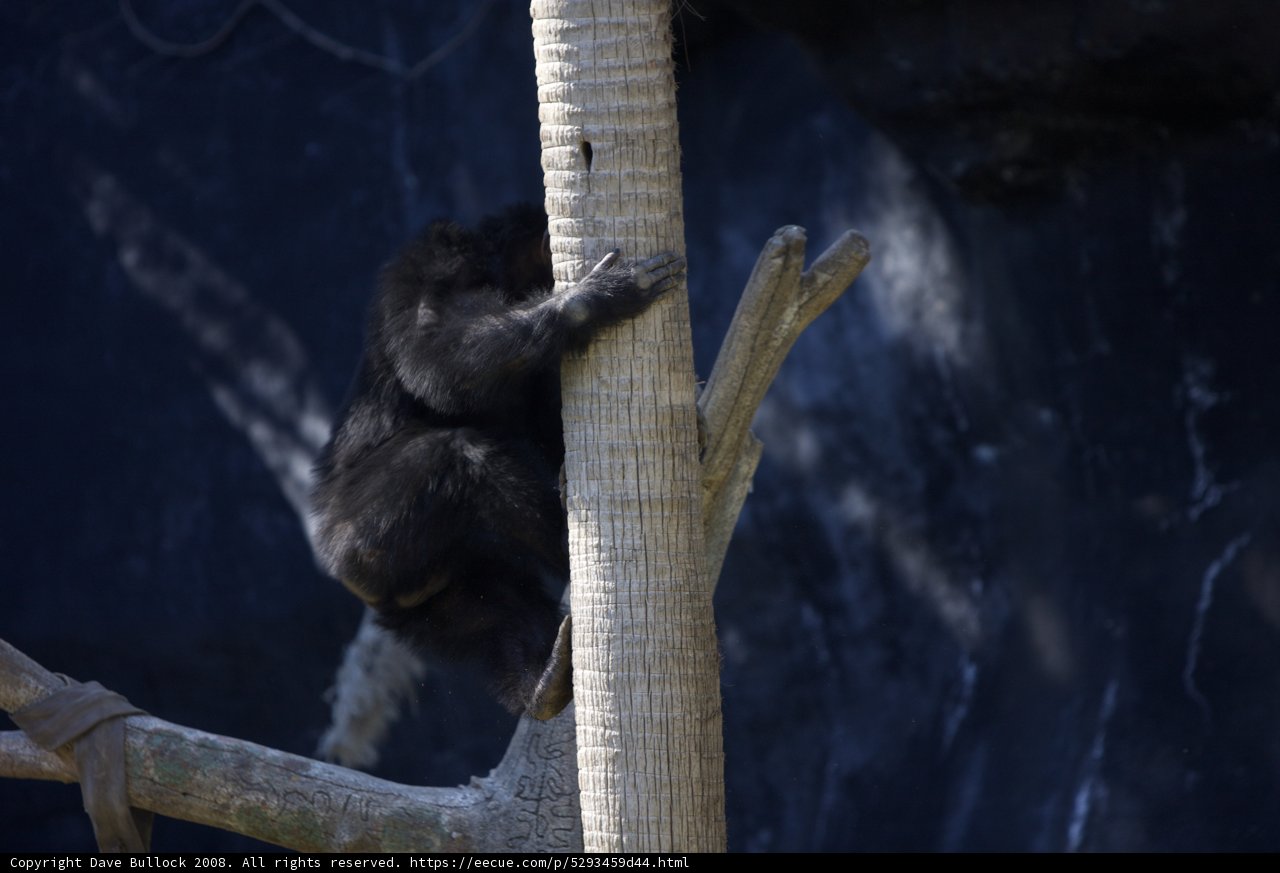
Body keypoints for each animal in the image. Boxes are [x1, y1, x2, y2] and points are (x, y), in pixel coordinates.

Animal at [311, 204, 686, 719]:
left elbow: (545, 420)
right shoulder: (433, 261)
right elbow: (435, 349)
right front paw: (595, 298)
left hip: (427, 599)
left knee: (495, 609)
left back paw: (543, 680)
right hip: (359, 537)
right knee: (460, 460)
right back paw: (568, 542)